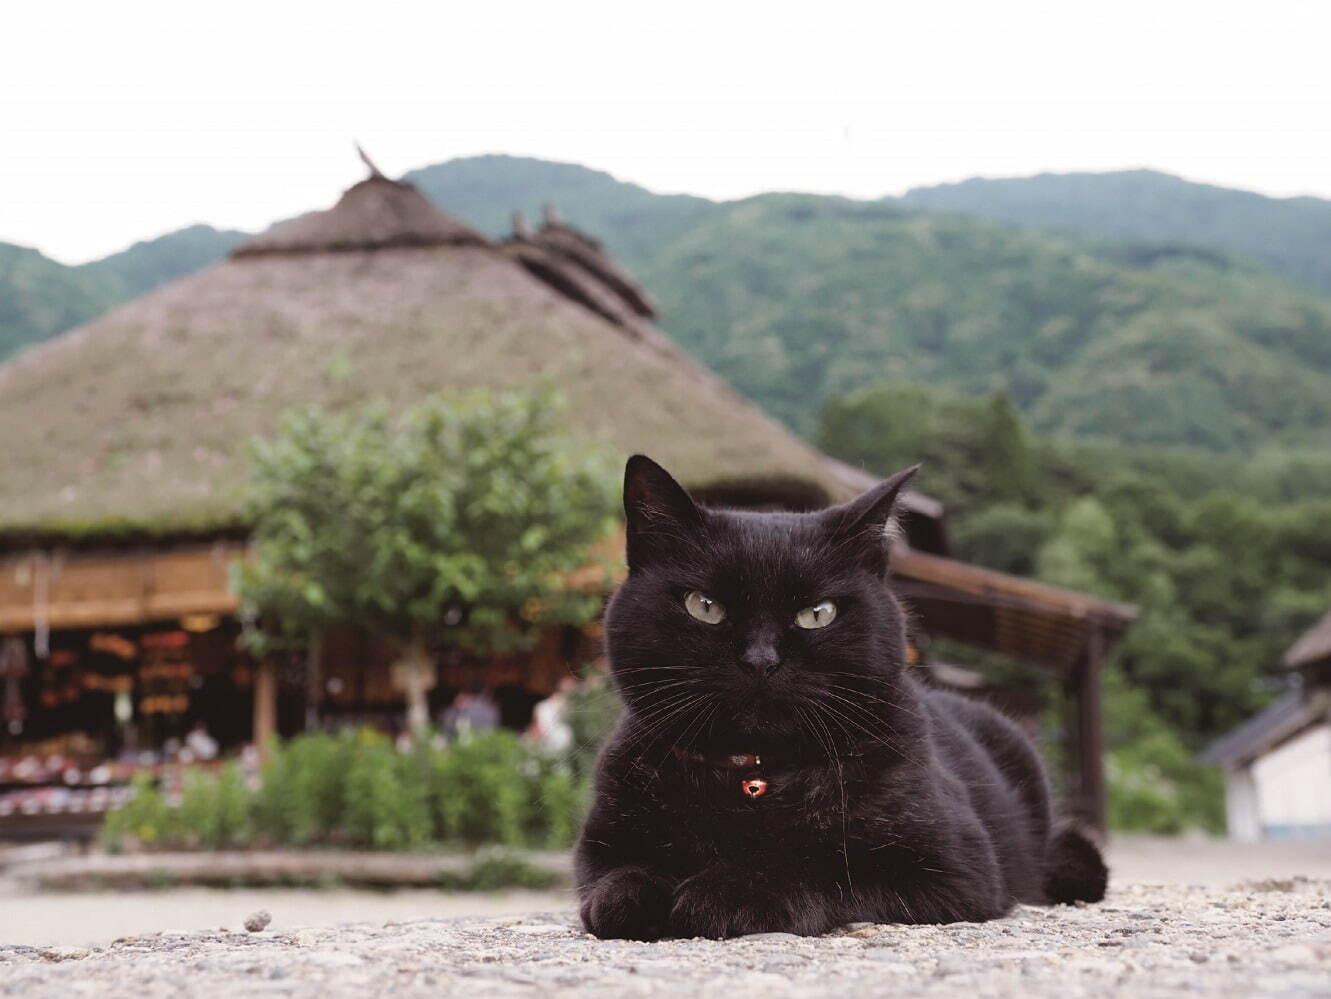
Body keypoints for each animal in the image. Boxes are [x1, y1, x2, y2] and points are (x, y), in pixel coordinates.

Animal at [577, 457, 1107, 941]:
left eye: (818, 613)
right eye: (704, 606)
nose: (761, 660)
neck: (755, 776)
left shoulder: (954, 868)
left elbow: (819, 863)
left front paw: (727, 891)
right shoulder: (601, 845)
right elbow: (617, 876)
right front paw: (636, 897)